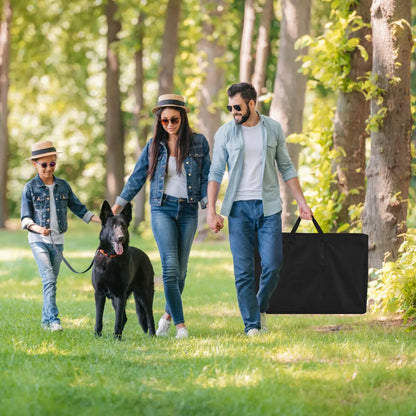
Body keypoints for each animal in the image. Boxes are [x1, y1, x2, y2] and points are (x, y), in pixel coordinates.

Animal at [92, 200, 155, 340]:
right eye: (112, 226)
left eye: (124, 226)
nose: (121, 237)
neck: (111, 257)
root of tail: (145, 256)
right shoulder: (99, 294)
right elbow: (99, 318)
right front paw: (97, 336)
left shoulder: (120, 295)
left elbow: (117, 320)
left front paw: (117, 338)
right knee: (124, 318)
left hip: (144, 295)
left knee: (149, 315)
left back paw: (152, 335)